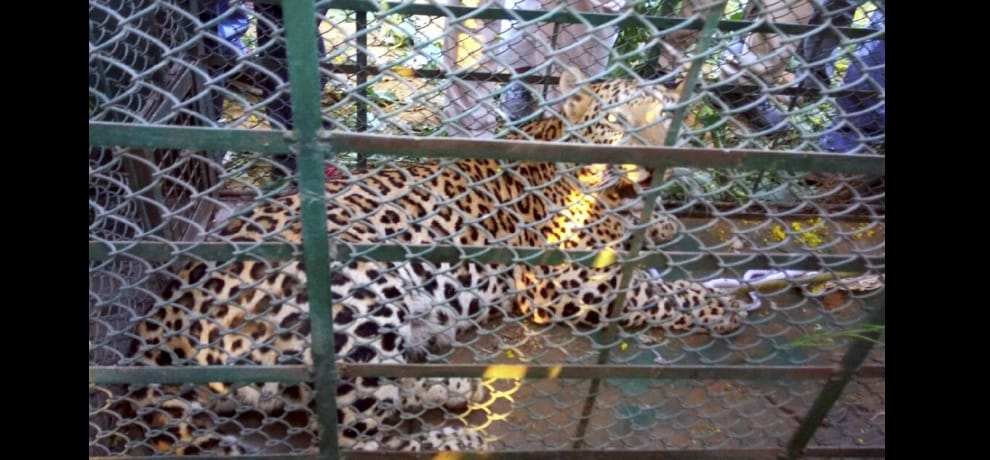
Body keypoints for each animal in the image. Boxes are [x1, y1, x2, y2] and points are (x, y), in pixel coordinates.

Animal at [118, 67, 750, 455]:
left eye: (668, 120)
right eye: (618, 122)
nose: (654, 162)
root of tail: (160, 320)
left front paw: (665, 222)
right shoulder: (560, 280)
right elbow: (656, 292)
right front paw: (723, 305)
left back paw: (453, 387)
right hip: (359, 285)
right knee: (355, 439)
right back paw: (459, 439)